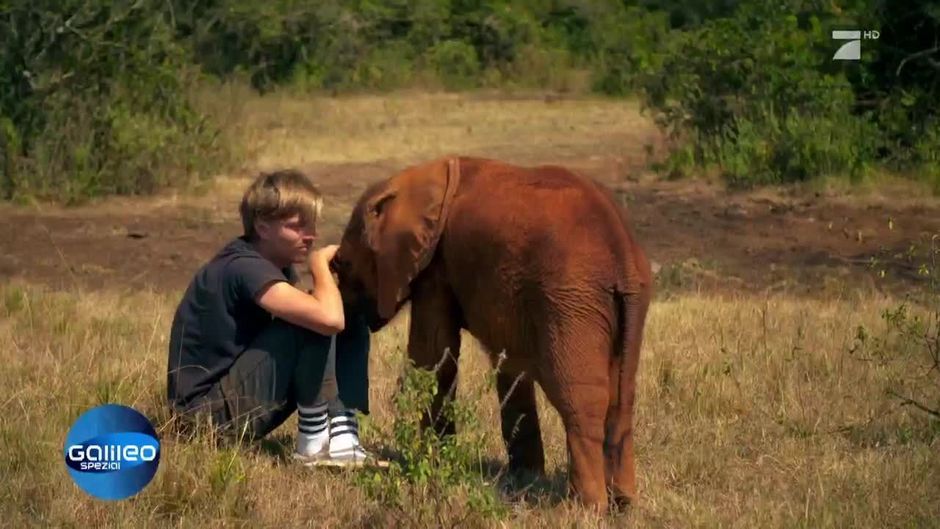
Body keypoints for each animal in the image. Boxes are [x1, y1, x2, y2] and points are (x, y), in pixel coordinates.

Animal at [332, 156, 652, 508]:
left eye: (340, 265)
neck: (412, 180)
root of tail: (623, 257)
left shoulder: (437, 265)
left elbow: (434, 356)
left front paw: (432, 466)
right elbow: (509, 365)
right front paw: (525, 480)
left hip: (572, 300)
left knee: (579, 399)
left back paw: (586, 509)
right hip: (622, 304)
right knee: (622, 398)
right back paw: (624, 504)